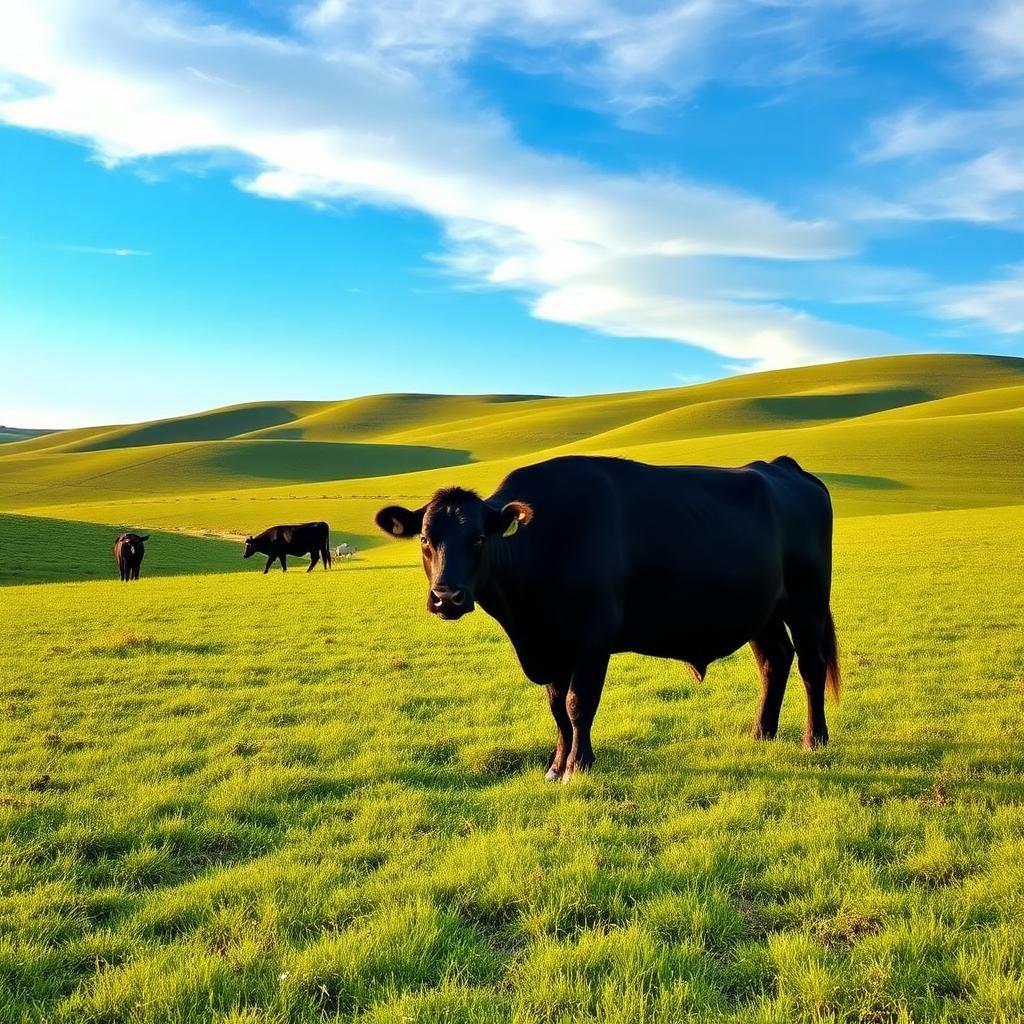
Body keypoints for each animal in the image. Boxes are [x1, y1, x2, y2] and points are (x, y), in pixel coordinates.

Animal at [375, 455, 840, 782]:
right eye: (425, 538)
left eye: (477, 538)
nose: (446, 597)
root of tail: (784, 467)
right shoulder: (553, 647)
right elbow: (556, 707)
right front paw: (555, 765)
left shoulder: (592, 640)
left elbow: (578, 703)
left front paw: (578, 766)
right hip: (763, 613)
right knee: (774, 661)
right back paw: (762, 733)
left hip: (808, 603)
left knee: (810, 665)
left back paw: (814, 740)